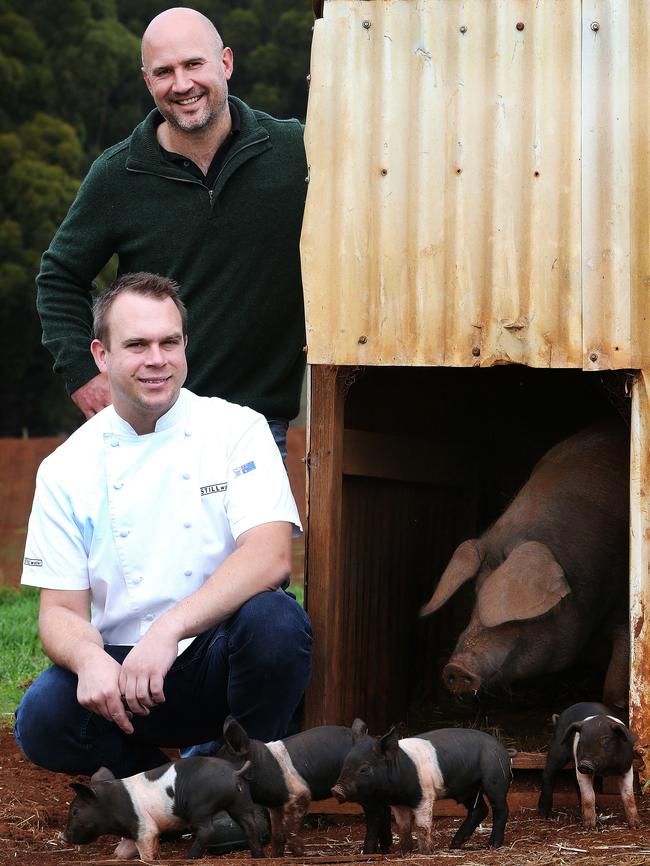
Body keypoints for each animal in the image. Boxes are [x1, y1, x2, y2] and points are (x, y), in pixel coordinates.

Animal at [61, 756, 264, 856]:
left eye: (75, 811)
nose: (62, 836)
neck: (113, 804)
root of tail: (234, 772)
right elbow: (125, 847)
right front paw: (118, 856)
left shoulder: (144, 827)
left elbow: (146, 845)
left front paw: (149, 859)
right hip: (242, 801)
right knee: (250, 825)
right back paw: (258, 855)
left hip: (200, 807)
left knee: (208, 830)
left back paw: (189, 856)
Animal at [218, 712, 390, 852]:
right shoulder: (275, 806)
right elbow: (278, 836)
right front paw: (276, 857)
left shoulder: (300, 795)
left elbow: (290, 833)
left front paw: (299, 853)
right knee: (385, 810)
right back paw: (385, 850)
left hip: (364, 789)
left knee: (375, 815)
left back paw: (368, 852)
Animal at [332, 724, 512, 852]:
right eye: (345, 763)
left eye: (364, 769)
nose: (336, 790)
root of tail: (504, 749)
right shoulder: (398, 803)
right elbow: (403, 826)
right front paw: (404, 851)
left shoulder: (424, 796)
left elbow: (422, 825)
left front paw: (426, 851)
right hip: (467, 789)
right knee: (479, 809)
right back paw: (454, 844)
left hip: (495, 779)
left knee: (500, 809)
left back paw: (492, 845)